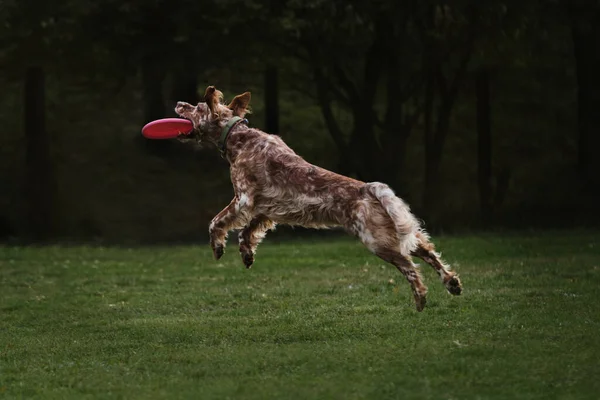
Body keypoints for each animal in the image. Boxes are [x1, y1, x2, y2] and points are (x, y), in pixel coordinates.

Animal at [175, 86, 464, 310]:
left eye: (196, 106)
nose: (178, 103)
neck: (238, 137)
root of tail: (370, 188)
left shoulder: (244, 199)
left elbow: (216, 222)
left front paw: (218, 247)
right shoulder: (266, 208)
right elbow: (247, 232)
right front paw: (246, 254)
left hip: (378, 242)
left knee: (410, 268)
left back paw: (421, 299)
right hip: (399, 232)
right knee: (428, 252)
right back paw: (452, 283)